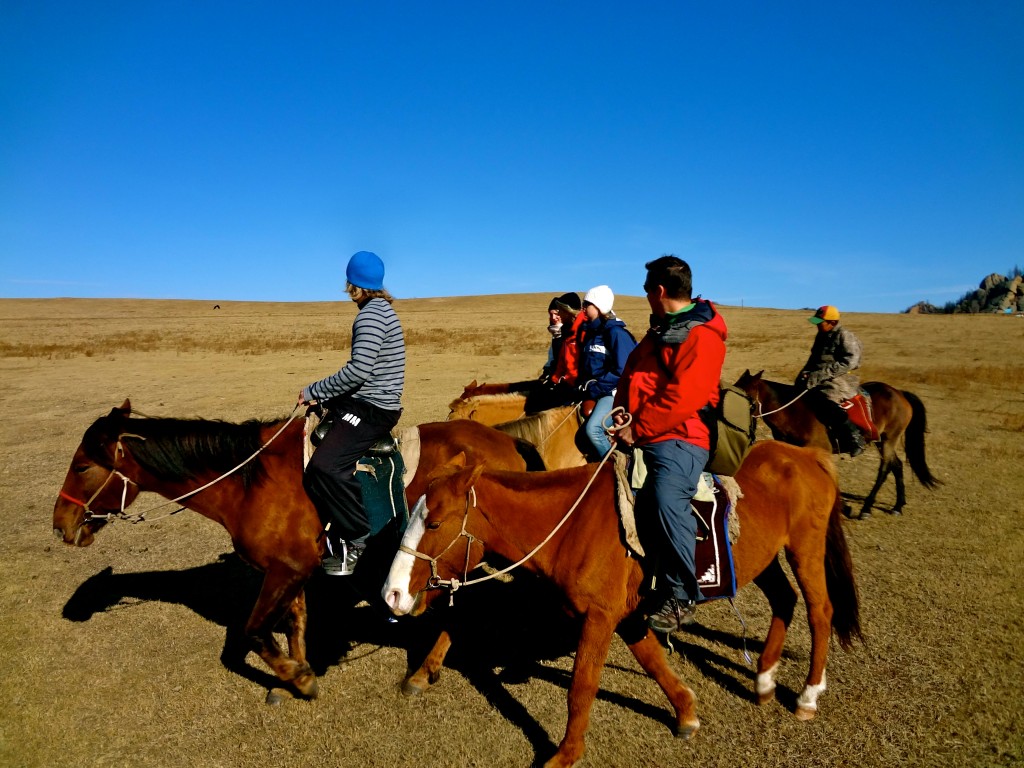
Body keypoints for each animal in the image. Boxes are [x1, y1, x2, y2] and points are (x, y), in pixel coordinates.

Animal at [49, 403, 544, 704]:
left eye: (82, 466)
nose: (61, 524)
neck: (247, 482)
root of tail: (507, 441)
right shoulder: (292, 570)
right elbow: (294, 625)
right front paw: (296, 674)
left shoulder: (283, 572)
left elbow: (253, 631)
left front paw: (300, 679)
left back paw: (425, 671)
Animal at [385, 442, 864, 768]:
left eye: (435, 522)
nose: (392, 593)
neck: (570, 525)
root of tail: (806, 454)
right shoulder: (627, 615)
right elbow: (653, 661)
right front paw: (686, 714)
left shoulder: (600, 617)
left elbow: (582, 687)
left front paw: (566, 754)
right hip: (765, 558)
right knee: (784, 600)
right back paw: (763, 680)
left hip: (805, 549)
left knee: (820, 612)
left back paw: (807, 695)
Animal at [733, 370, 937, 520]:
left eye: (746, 397)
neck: (793, 413)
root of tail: (900, 393)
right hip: (883, 441)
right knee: (897, 465)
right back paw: (898, 505)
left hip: (888, 439)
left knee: (885, 468)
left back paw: (867, 508)